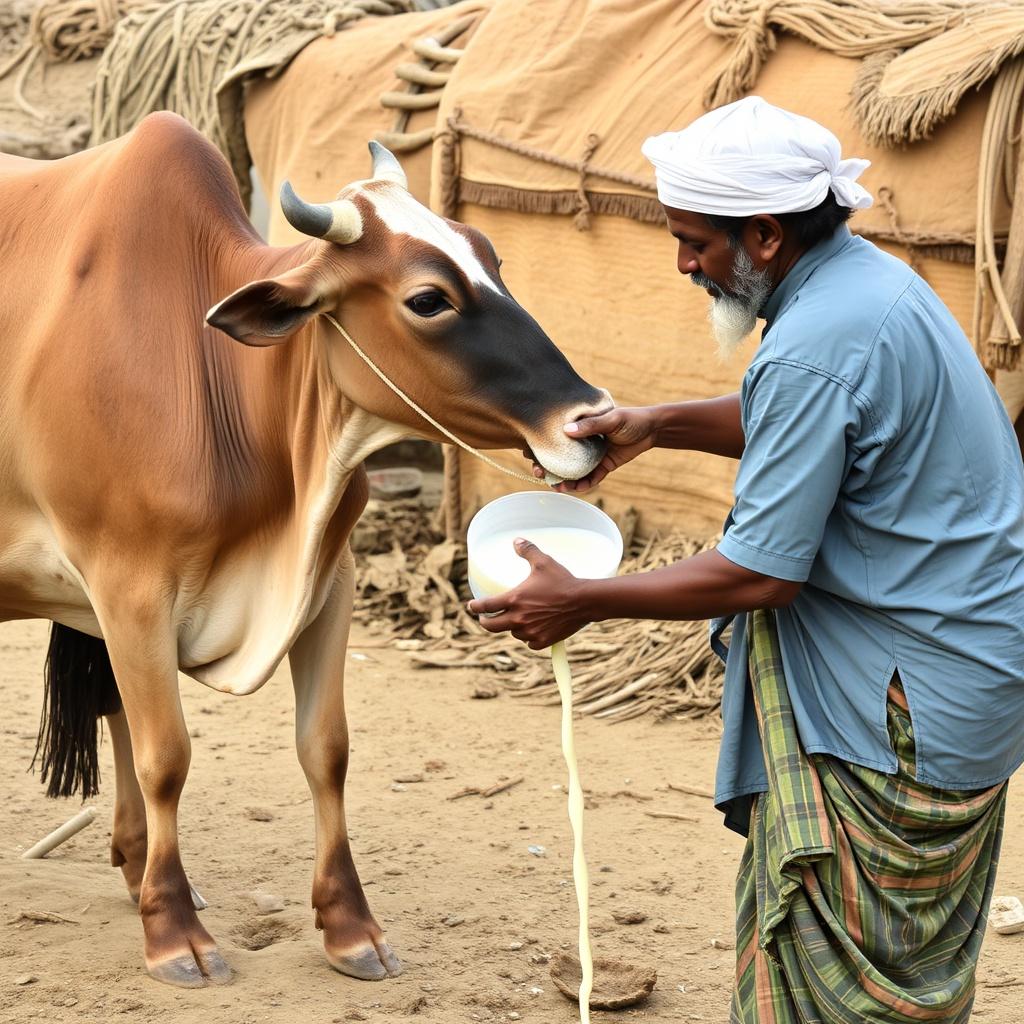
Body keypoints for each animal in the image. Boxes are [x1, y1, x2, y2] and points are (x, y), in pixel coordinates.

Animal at [0, 111, 611, 988]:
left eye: (493, 258)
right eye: (428, 298)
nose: (593, 422)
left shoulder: (329, 580)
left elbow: (326, 749)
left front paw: (349, 925)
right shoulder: (128, 587)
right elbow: (165, 756)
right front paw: (173, 931)